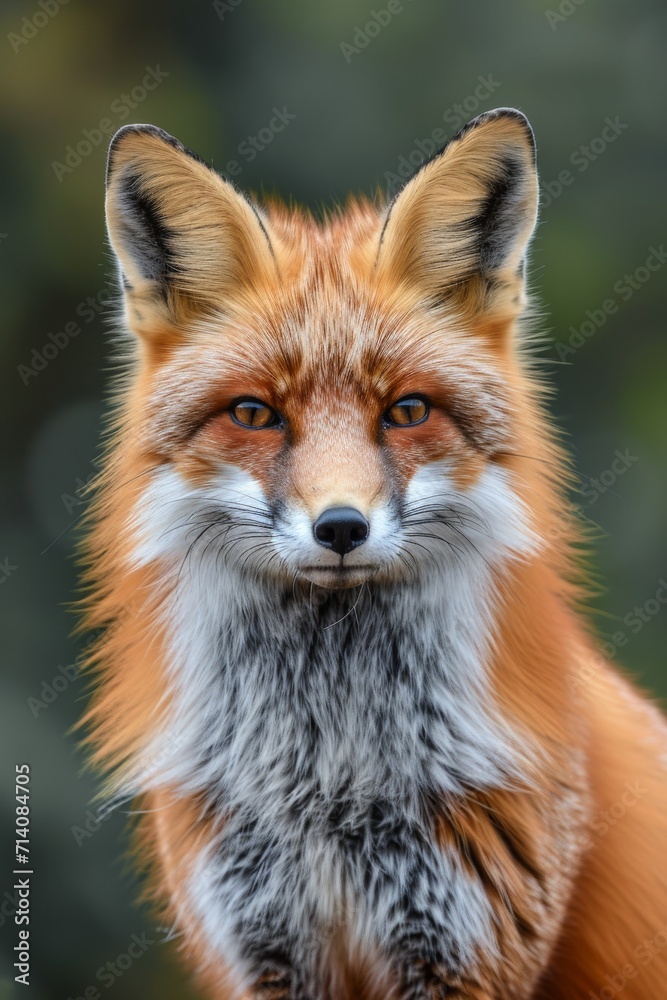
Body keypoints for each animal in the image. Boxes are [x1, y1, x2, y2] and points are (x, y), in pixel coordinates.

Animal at [79, 111, 667, 1000]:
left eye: (407, 411)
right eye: (253, 414)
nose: (340, 528)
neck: (327, 785)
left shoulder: (469, 946)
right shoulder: (264, 949)